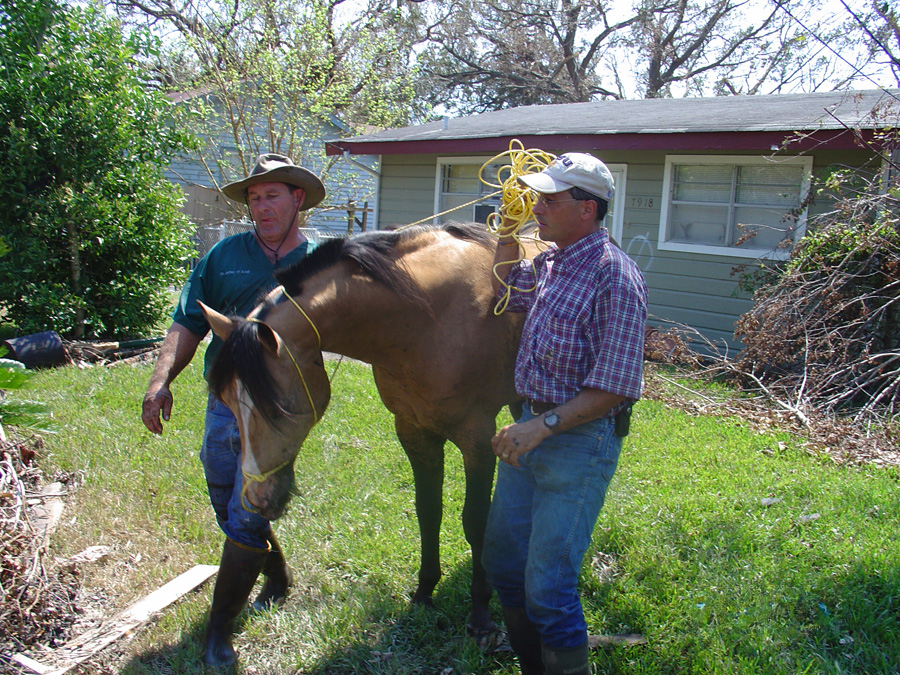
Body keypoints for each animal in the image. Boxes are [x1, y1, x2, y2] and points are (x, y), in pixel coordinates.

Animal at [202, 222, 524, 636]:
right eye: (225, 401)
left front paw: (481, 613)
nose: (257, 499)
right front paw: (424, 592)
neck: (430, 316)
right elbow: (428, 511)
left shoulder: (478, 437)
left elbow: (475, 522)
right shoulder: (413, 432)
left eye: (278, 408)